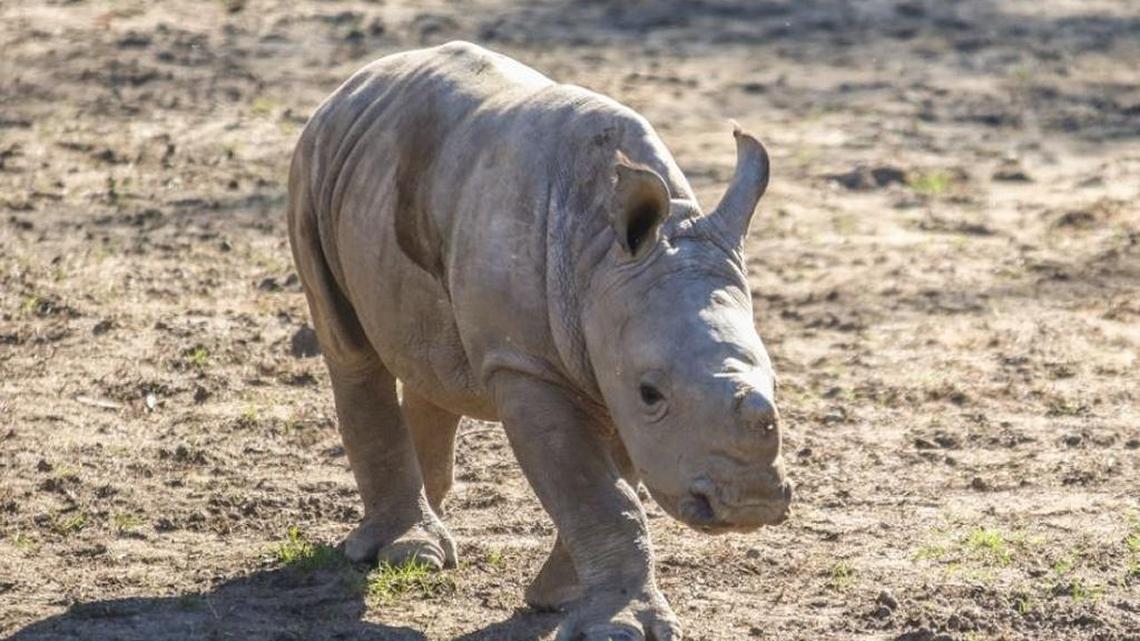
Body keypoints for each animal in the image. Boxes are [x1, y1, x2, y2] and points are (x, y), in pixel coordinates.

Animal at [287, 41, 791, 641]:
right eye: (652, 393)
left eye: (777, 381)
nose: (750, 502)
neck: (602, 257)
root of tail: (357, 81)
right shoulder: (526, 364)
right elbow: (597, 493)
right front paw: (616, 627)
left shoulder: (608, 351)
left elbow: (611, 487)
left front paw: (558, 600)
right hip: (314, 158)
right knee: (351, 349)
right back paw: (408, 553)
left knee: (429, 360)